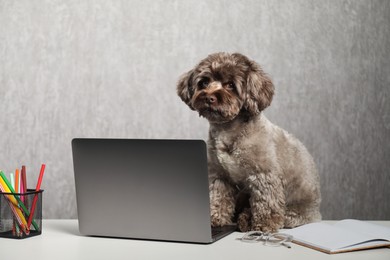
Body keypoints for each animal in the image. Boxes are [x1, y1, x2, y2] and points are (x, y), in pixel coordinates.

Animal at [177, 52, 320, 232]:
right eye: (204, 82)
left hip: (297, 211)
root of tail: (317, 211)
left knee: (289, 215)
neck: (229, 130)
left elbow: (266, 202)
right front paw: (215, 218)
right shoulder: (220, 176)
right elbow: (218, 197)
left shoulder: (263, 175)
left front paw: (265, 224)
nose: (209, 97)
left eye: (230, 85)